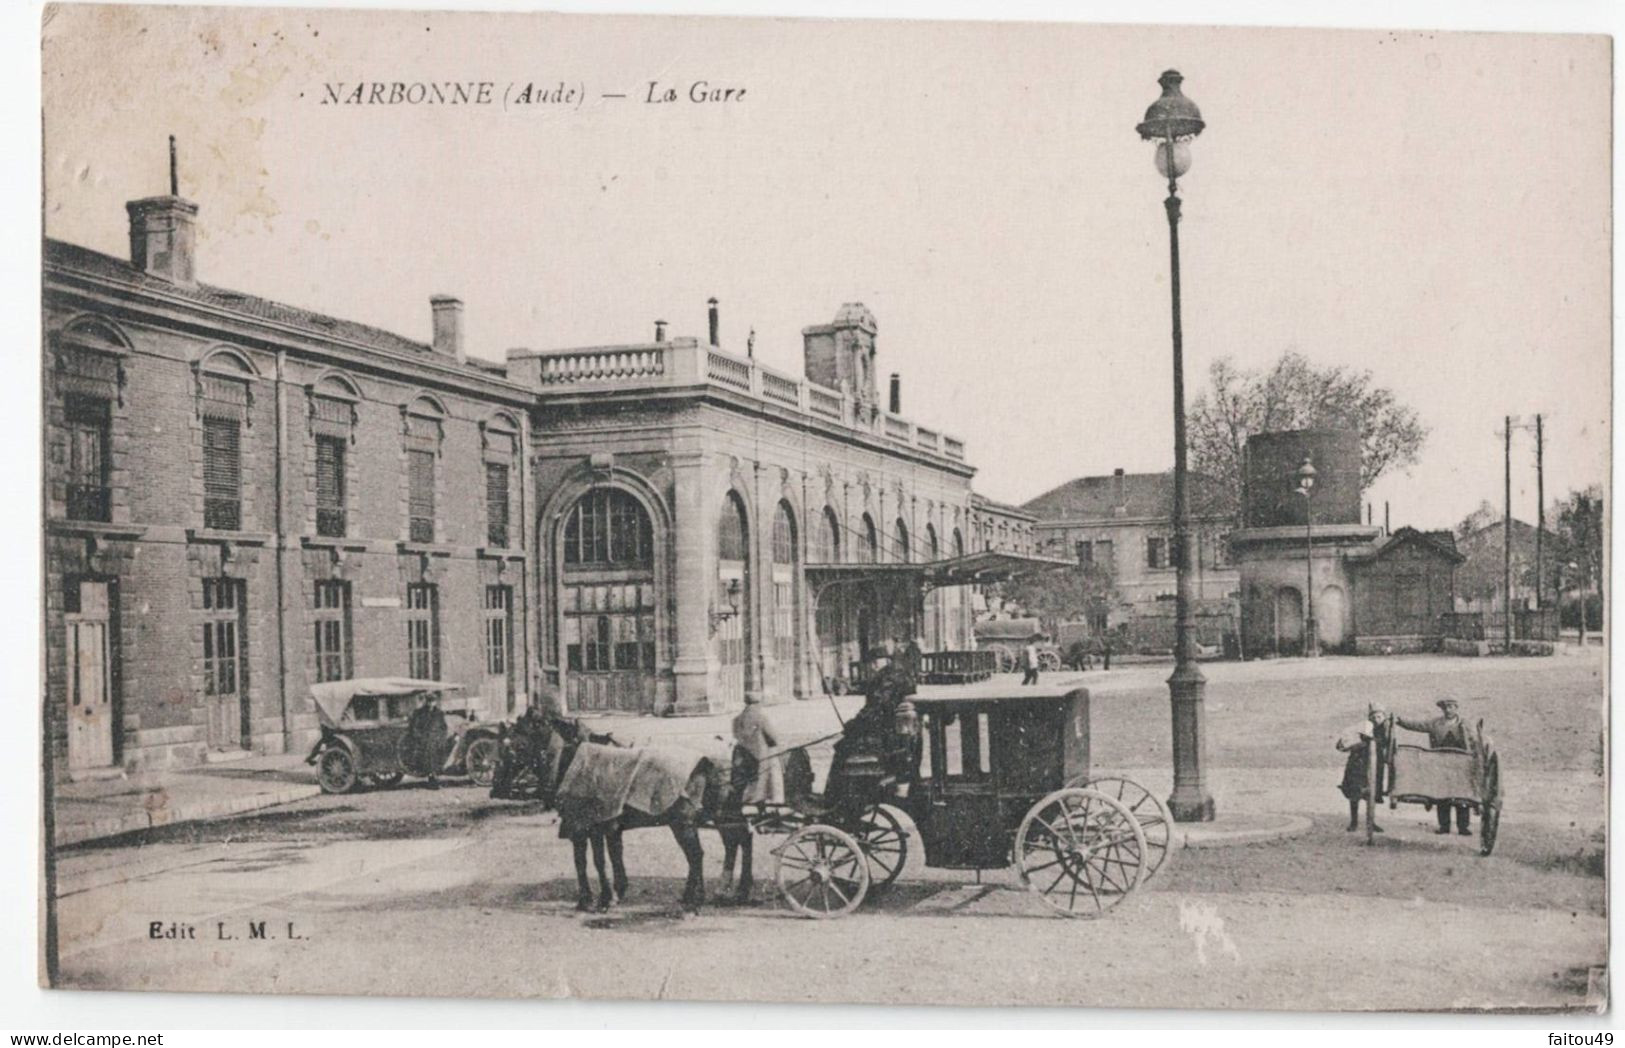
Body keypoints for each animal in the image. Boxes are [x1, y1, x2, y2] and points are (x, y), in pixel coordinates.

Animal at [494, 714, 760, 909]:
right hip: (720, 815)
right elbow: (611, 856)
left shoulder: (585, 824)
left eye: (517, 746)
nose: (496, 788)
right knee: (740, 840)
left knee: (700, 854)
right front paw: (615, 892)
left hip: (688, 821)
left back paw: (695, 899)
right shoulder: (605, 825)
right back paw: (733, 891)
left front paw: (593, 900)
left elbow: (589, 861)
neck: (573, 760)